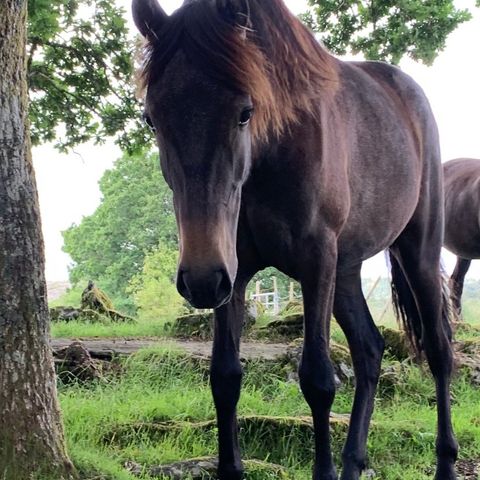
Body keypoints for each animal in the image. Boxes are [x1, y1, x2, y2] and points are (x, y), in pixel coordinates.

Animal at [130, 1, 458, 478]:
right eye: (151, 118)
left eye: (245, 112)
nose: (199, 279)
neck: (271, 153)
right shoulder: (234, 273)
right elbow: (224, 377)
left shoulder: (314, 260)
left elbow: (318, 378)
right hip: (344, 271)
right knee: (370, 351)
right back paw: (353, 461)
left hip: (417, 251)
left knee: (438, 351)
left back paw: (446, 460)